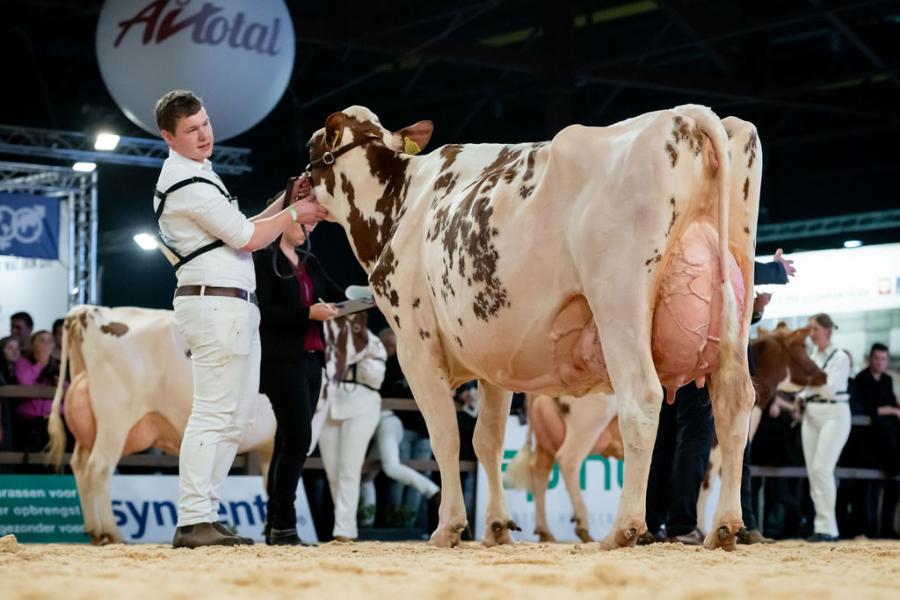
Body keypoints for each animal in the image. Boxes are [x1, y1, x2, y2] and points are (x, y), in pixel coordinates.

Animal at [47, 308, 272, 548]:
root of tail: (86, 310)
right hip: (115, 417)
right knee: (99, 467)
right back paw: (112, 533)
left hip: (90, 424)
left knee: (79, 464)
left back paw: (95, 531)